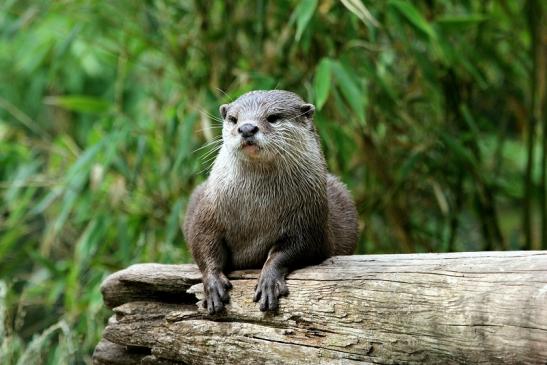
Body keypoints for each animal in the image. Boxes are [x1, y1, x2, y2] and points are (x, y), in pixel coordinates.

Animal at [182, 90, 358, 312]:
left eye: (273, 117)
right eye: (234, 119)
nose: (247, 128)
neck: (257, 208)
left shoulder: (309, 221)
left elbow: (292, 249)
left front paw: (268, 280)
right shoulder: (207, 212)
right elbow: (202, 243)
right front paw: (212, 285)